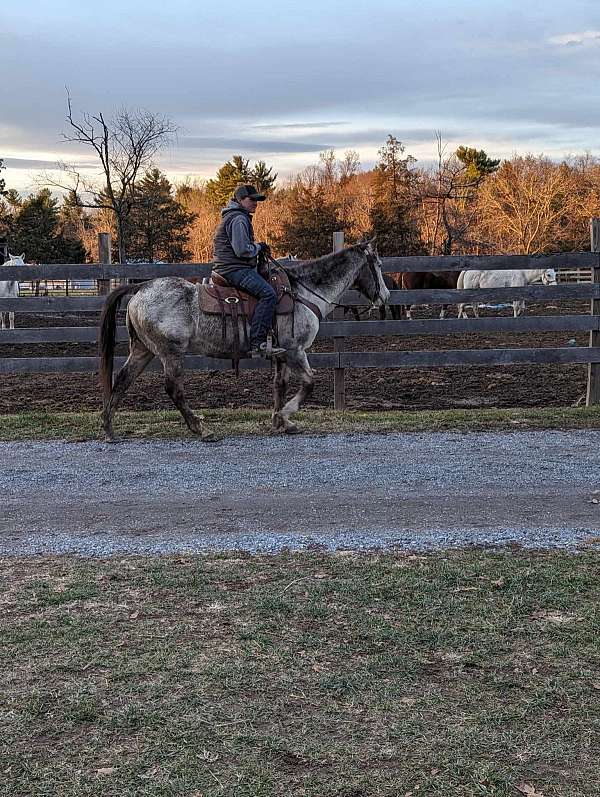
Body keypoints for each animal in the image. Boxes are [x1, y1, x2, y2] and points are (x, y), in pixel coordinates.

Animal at [98, 243, 390, 442]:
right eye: (377, 264)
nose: (385, 296)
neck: (302, 292)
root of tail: (139, 288)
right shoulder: (295, 350)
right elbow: (309, 383)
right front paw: (285, 415)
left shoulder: (281, 354)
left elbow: (280, 385)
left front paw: (280, 421)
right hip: (171, 353)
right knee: (173, 389)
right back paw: (201, 429)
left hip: (143, 350)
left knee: (122, 380)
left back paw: (109, 428)